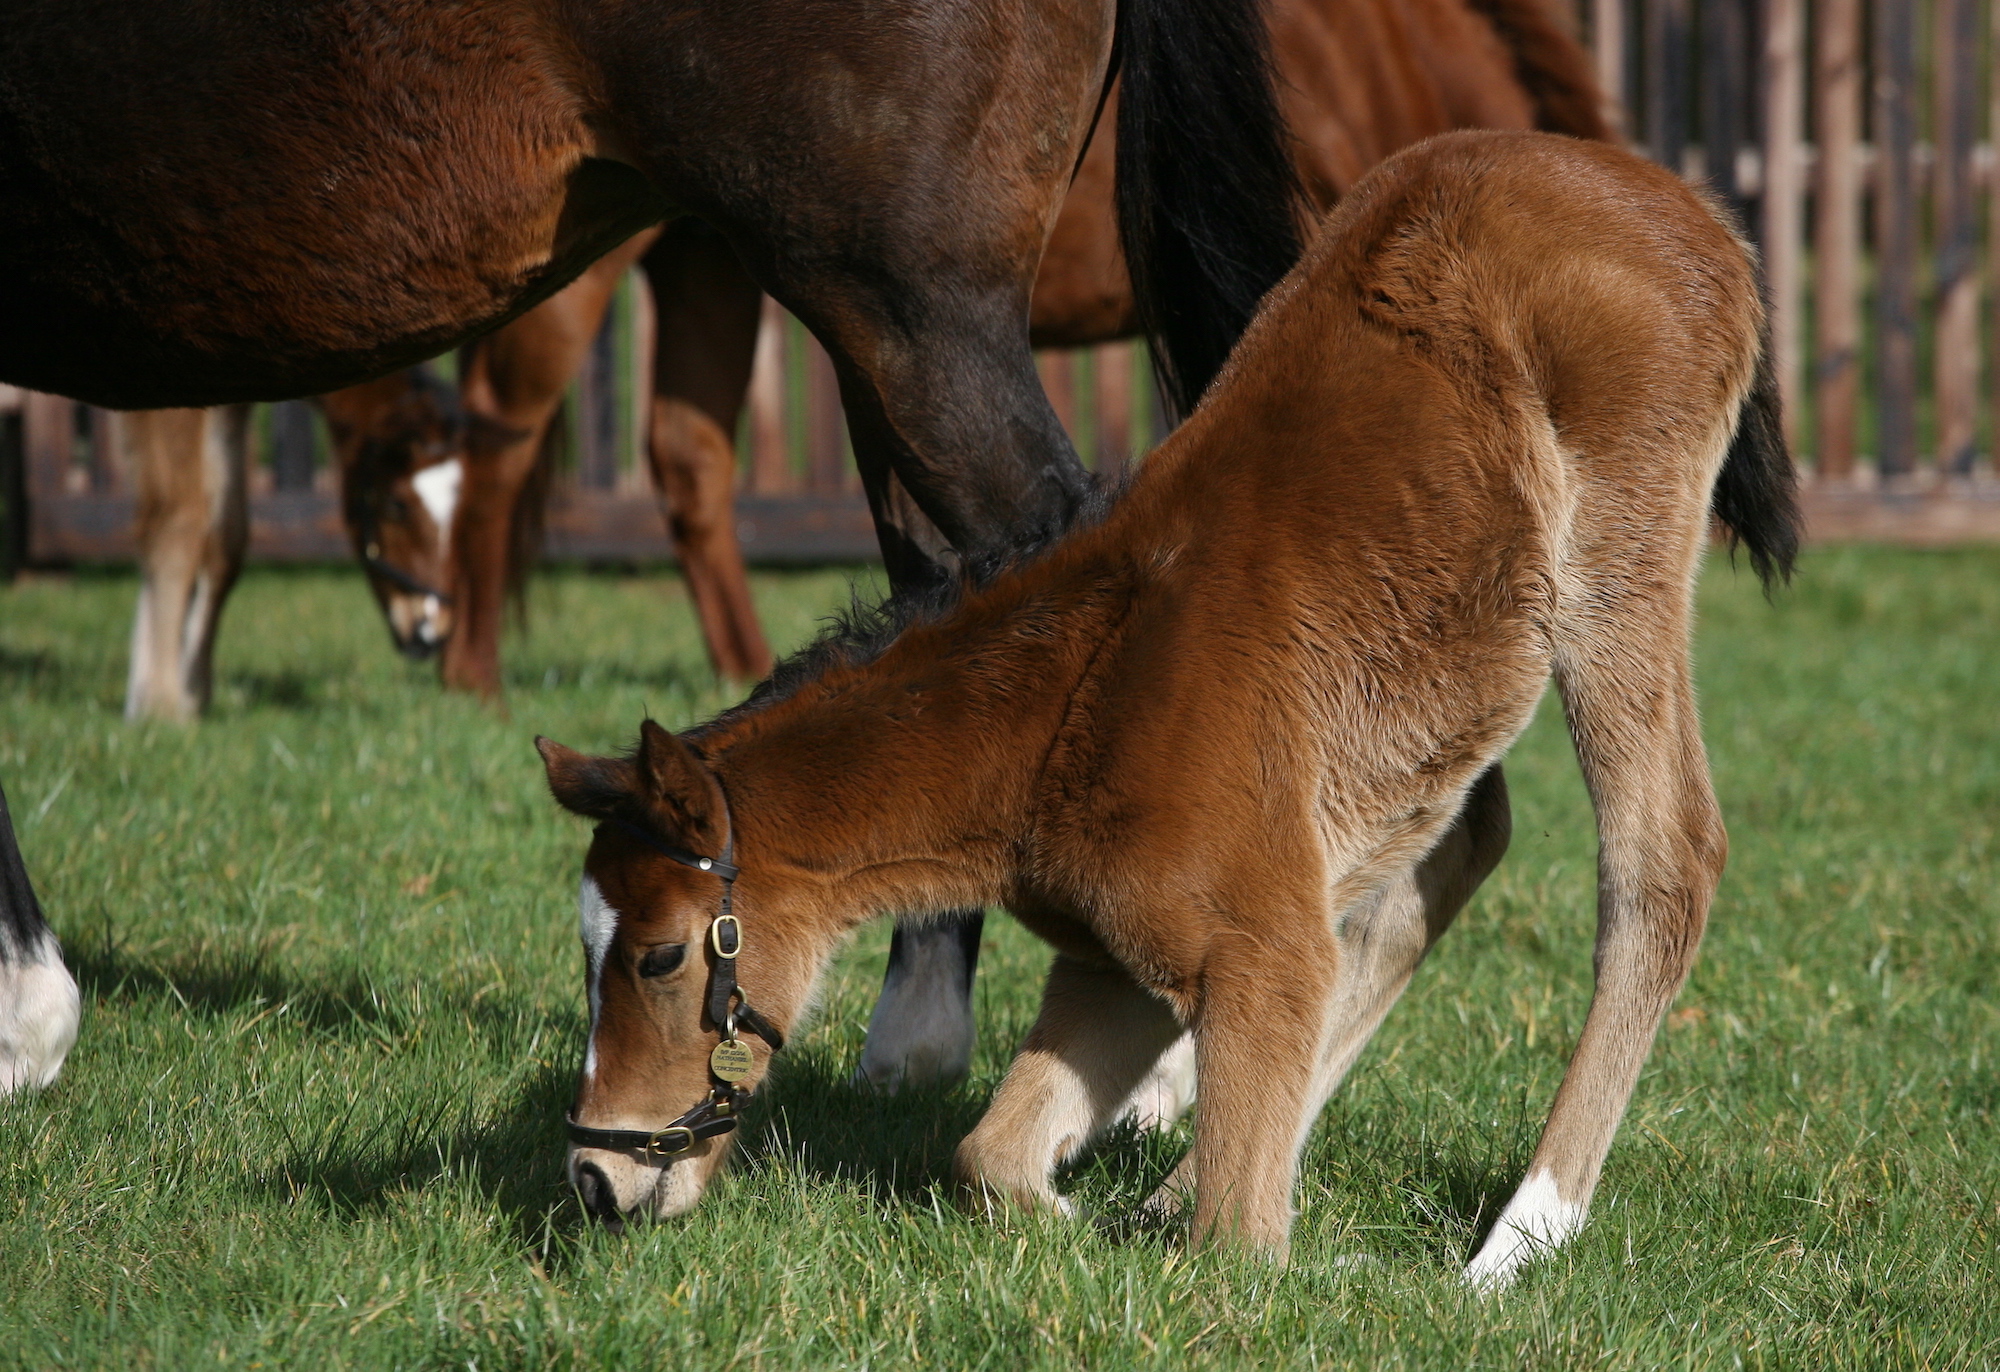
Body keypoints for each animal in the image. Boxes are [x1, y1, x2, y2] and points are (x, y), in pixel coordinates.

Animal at [540, 132, 1808, 1288]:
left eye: (658, 956)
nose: (596, 1176)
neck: (1060, 719)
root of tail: (1689, 209)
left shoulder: (1257, 948)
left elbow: (1235, 1253)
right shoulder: (1119, 958)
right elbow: (988, 1158)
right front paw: (1095, 1210)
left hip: (1620, 567)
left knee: (1661, 859)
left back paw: (1519, 1237)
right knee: (1451, 846)